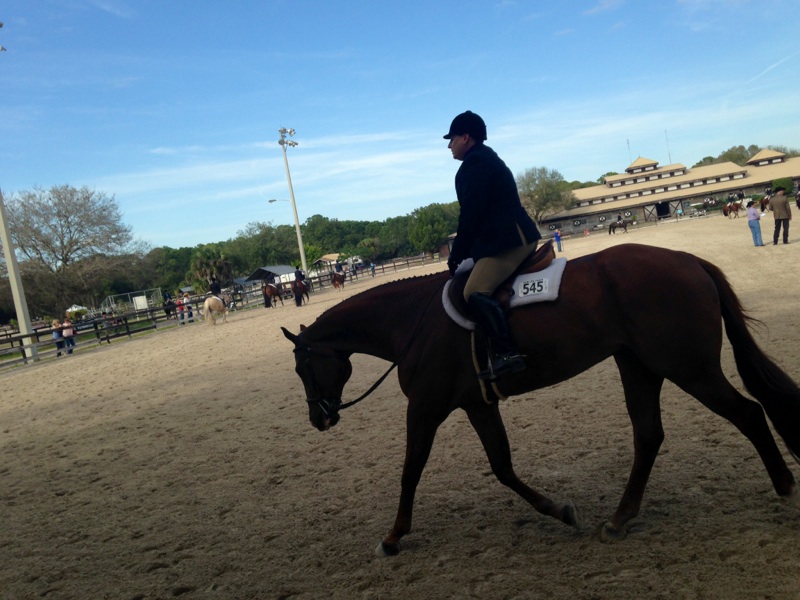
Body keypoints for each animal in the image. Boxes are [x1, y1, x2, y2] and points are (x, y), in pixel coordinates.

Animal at [282, 243, 800, 556]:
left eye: (303, 368)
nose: (318, 419)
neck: (413, 321)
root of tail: (690, 260)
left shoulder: (426, 408)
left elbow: (411, 469)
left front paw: (392, 538)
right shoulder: (478, 404)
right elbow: (503, 467)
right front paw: (560, 511)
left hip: (688, 367)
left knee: (749, 414)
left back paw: (785, 488)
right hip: (640, 365)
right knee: (649, 435)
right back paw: (619, 519)